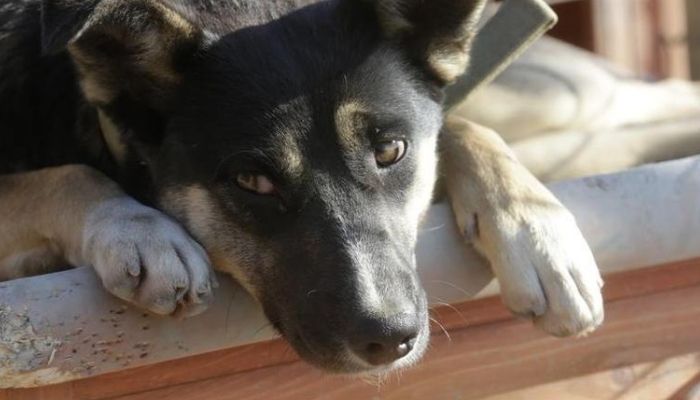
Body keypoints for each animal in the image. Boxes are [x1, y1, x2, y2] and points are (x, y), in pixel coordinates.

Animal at [0, 0, 600, 376]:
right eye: (251, 180)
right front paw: (138, 228)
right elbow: (63, 176)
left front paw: (537, 232)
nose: (391, 338)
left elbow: (458, 124)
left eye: (390, 151)